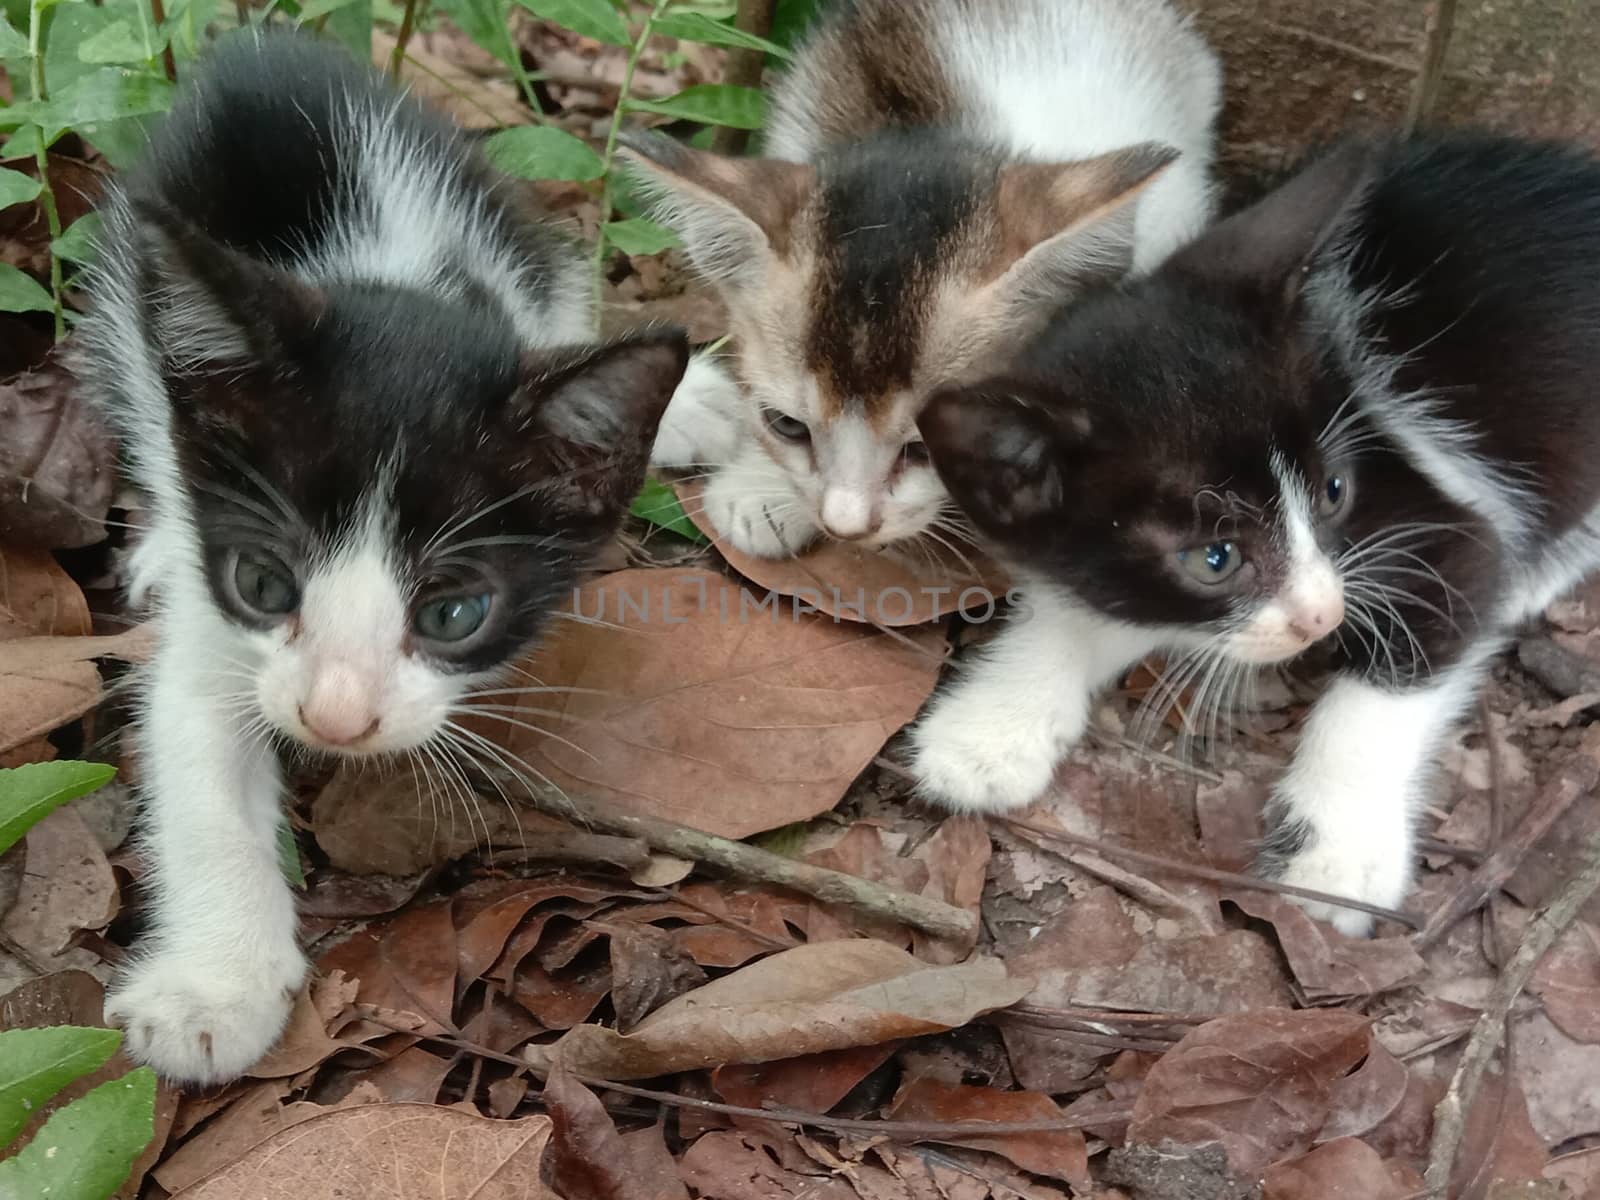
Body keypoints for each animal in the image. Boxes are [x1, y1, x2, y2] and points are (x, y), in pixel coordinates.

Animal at [73, 30, 688, 1081]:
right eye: (262, 581)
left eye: (452, 613)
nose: (335, 720)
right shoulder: (217, 626)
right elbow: (194, 746)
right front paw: (213, 989)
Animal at [915, 133, 1600, 940]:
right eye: (1215, 558)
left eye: (1335, 492)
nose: (1323, 617)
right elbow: (1100, 606)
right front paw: (989, 728)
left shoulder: (1440, 523)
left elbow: (1398, 669)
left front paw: (1336, 854)